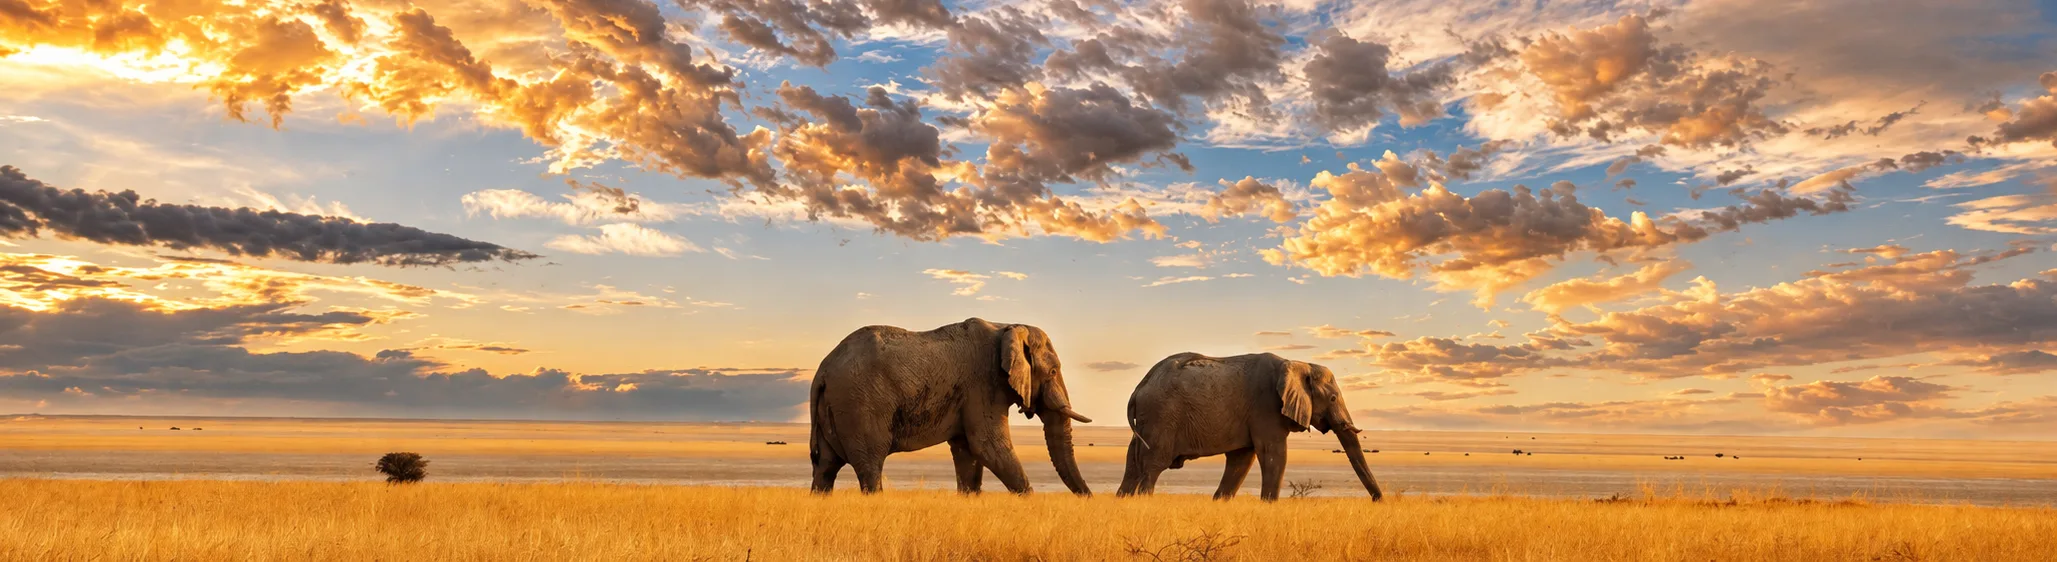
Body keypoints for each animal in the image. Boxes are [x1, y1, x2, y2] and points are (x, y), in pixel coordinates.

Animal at [808, 317, 1094, 496]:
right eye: (1053, 371)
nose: (1088, 498)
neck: (1008, 326)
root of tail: (823, 370)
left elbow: (968, 452)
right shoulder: (983, 384)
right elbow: (988, 445)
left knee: (825, 467)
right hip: (859, 405)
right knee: (869, 465)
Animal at [1116, 352, 1382, 501]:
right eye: (1333, 398)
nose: (1379, 501)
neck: (1297, 364)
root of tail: (1139, 388)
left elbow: (1241, 459)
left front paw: (1220, 503)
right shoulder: (1266, 407)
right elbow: (1273, 454)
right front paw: (1269, 505)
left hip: (1148, 420)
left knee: (1132, 464)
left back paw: (1122, 500)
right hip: (1162, 417)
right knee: (1152, 467)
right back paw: (1144, 501)